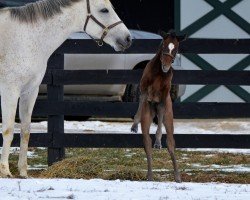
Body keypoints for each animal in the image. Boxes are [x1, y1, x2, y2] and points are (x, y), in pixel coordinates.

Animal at [131, 30, 186, 182]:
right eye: (164, 46)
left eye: (176, 48)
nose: (166, 66)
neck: (159, 73)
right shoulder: (143, 87)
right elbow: (141, 100)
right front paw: (134, 125)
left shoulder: (163, 96)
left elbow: (160, 113)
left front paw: (158, 141)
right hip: (147, 117)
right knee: (146, 142)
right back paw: (150, 175)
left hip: (169, 118)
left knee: (171, 143)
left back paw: (177, 176)